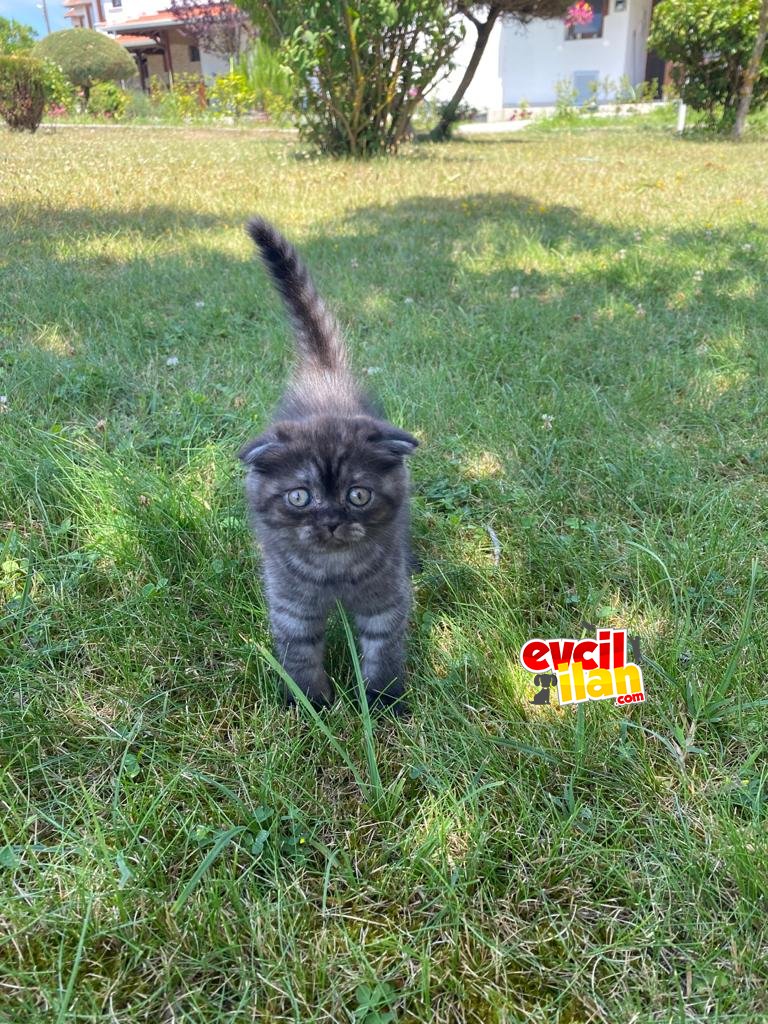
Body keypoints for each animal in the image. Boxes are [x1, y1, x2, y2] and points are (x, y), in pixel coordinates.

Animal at [240, 216, 421, 712]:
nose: (332, 520)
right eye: (300, 496)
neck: (334, 572)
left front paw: (382, 699)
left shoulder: (385, 601)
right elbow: (299, 655)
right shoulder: (292, 607)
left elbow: (383, 648)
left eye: (358, 495)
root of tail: (323, 373)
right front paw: (311, 704)